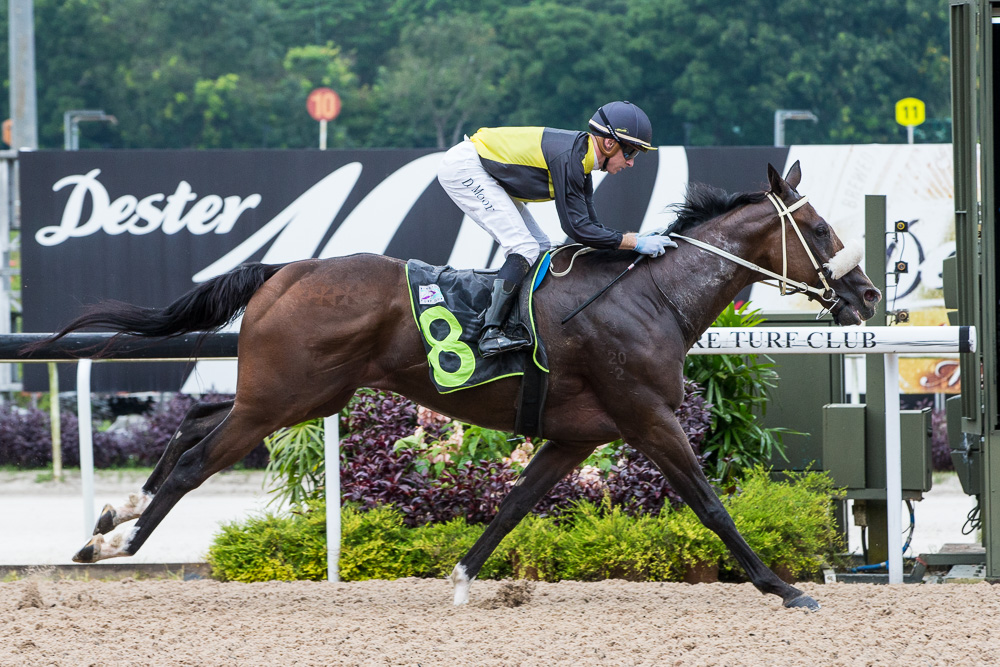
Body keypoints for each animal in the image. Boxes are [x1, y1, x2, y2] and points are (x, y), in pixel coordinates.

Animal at [31, 162, 876, 612]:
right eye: (821, 230)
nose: (866, 295)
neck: (648, 298)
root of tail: (286, 268)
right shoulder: (648, 418)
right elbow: (710, 504)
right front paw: (782, 585)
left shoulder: (578, 434)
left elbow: (512, 504)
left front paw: (464, 578)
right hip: (282, 399)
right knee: (194, 461)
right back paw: (114, 540)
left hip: (293, 395)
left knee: (197, 418)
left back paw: (113, 513)